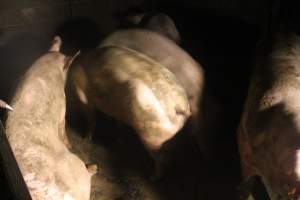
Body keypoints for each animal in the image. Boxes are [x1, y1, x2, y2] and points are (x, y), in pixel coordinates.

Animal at [4, 36, 96, 200]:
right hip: (76, 170)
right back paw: (94, 167)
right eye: (68, 70)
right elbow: (62, 127)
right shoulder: (62, 106)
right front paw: (70, 145)